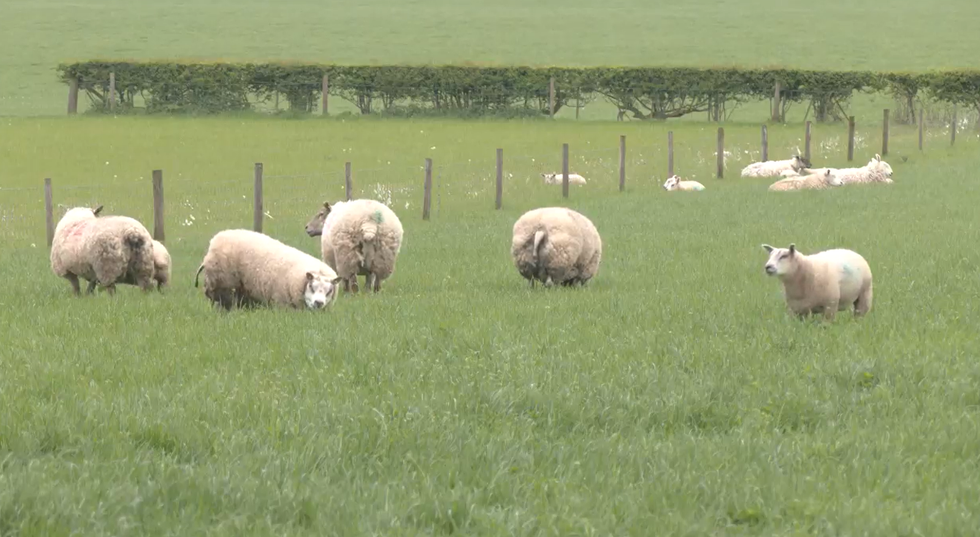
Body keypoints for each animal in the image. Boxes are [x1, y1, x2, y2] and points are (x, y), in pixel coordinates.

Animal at [194, 229, 342, 311]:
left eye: (330, 291)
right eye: (311, 286)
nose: (319, 303)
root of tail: (213, 243)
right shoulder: (281, 303)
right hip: (224, 285)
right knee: (225, 303)